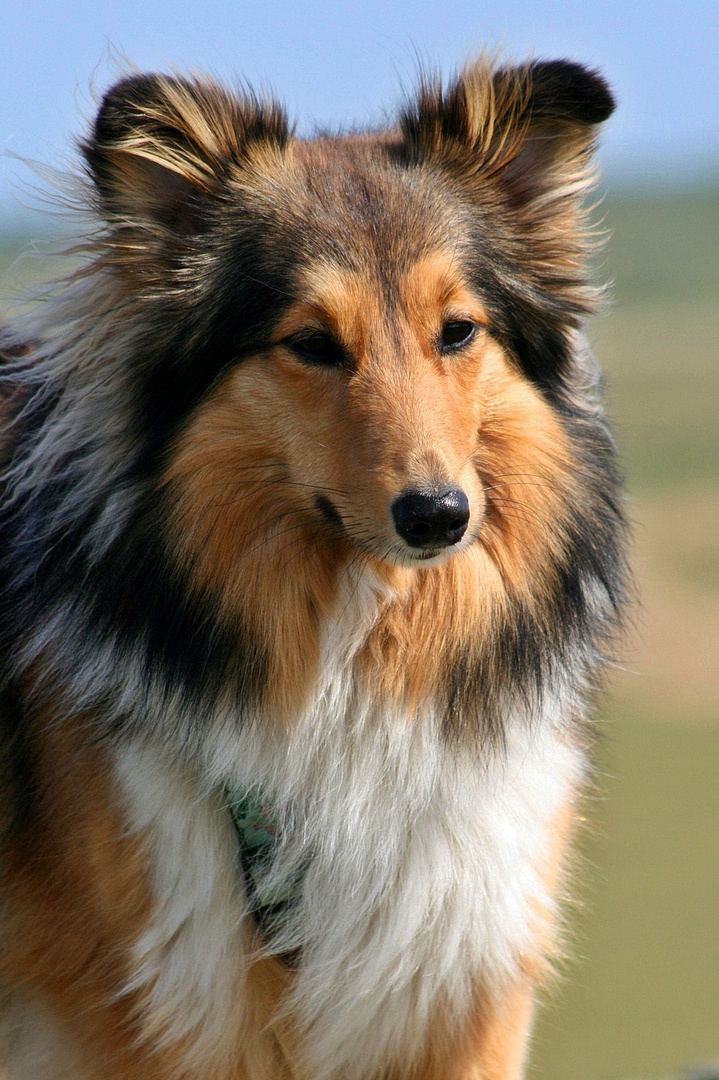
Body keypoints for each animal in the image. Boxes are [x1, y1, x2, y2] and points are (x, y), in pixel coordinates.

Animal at [0, 56, 626, 1080]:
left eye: (458, 331)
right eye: (310, 343)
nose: (437, 515)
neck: (357, 657)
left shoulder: (460, 983)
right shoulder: (164, 992)